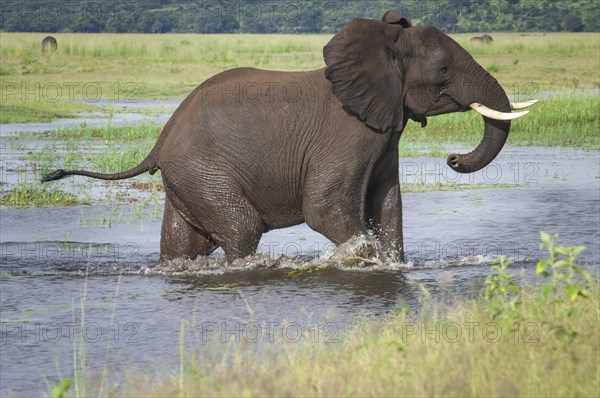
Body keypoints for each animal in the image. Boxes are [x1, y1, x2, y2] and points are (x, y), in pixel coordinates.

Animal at [43, 11, 540, 264]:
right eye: (443, 71)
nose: (454, 159)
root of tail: (160, 142)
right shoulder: (348, 133)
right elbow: (326, 208)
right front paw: (362, 261)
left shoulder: (383, 135)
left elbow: (388, 206)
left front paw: (394, 266)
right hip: (204, 173)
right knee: (241, 230)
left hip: (187, 180)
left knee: (183, 244)